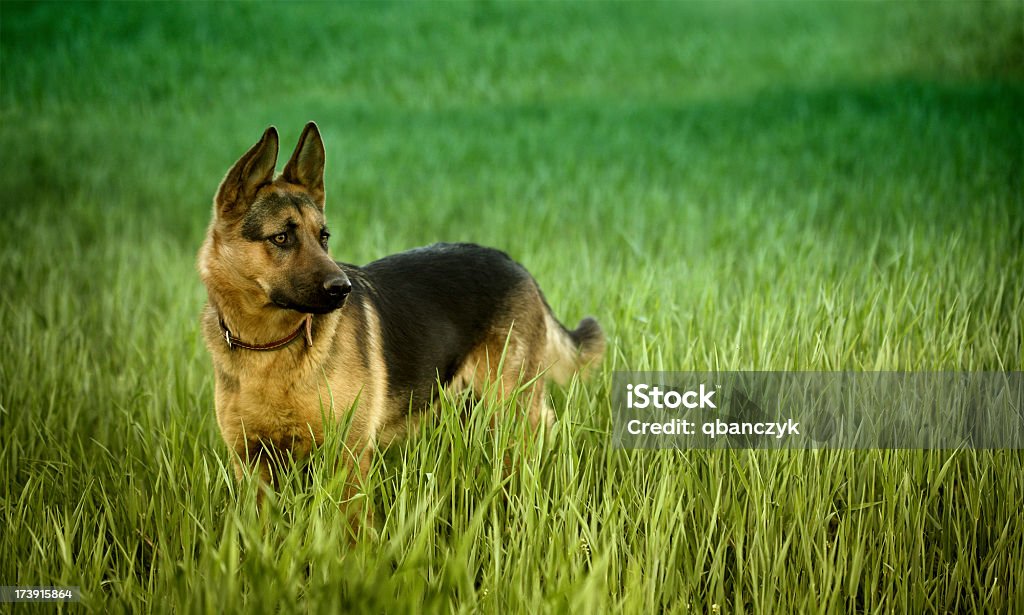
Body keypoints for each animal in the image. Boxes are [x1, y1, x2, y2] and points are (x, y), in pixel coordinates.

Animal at [195, 122, 602, 511]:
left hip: (512, 408)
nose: (343, 289)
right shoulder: (252, 466)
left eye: (323, 237)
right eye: (281, 238)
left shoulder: (348, 457)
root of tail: (515, 264)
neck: (269, 346)